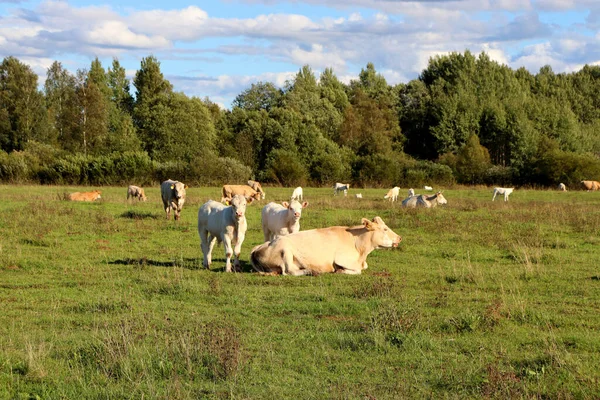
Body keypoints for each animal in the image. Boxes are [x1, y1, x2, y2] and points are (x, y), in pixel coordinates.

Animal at [251, 216, 400, 276]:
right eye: (385, 229)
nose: (399, 237)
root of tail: (257, 249)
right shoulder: (341, 259)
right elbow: (357, 271)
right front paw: (340, 271)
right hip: (286, 250)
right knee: (289, 271)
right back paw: (310, 271)